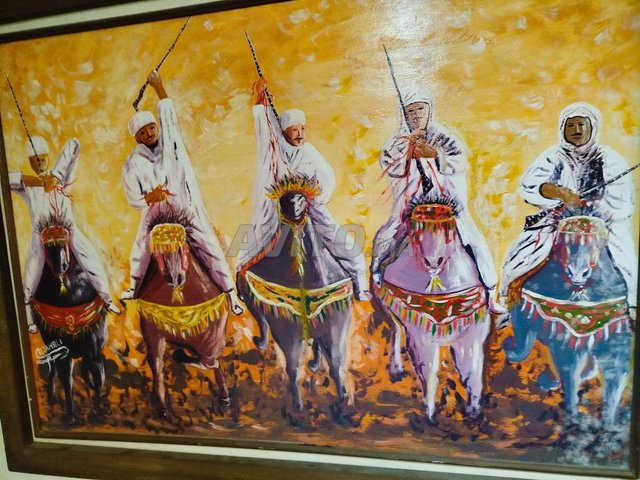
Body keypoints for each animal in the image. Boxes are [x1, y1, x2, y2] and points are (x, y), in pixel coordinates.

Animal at [30, 217, 108, 423]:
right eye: (47, 246)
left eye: (64, 242)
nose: (61, 267)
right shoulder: (62, 352)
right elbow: (67, 381)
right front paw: (71, 415)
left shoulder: (93, 350)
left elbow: (98, 378)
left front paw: (97, 409)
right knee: (57, 373)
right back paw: (52, 400)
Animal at [134, 208, 230, 418]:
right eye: (158, 252)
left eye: (181, 248)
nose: (175, 278)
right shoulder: (153, 331)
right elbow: (157, 365)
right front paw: (162, 406)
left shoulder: (213, 335)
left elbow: (210, 361)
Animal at [237, 175, 353, 411]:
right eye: (287, 201)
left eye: (301, 199)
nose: (293, 210)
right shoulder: (287, 333)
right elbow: (293, 369)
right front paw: (298, 405)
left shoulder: (335, 328)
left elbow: (336, 365)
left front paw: (341, 400)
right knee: (264, 324)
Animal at [372, 196, 490, 422]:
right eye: (417, 231)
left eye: (449, 229)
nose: (433, 262)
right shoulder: (421, 338)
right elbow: (428, 373)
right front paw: (430, 413)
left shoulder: (471, 336)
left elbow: (471, 371)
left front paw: (473, 410)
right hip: (386, 310)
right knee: (395, 331)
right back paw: (396, 369)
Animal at [502, 214, 631, 424]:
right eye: (564, 243)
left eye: (597, 244)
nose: (577, 273)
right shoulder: (564, 343)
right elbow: (571, 379)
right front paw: (573, 419)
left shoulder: (615, 339)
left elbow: (613, 380)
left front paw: (606, 425)